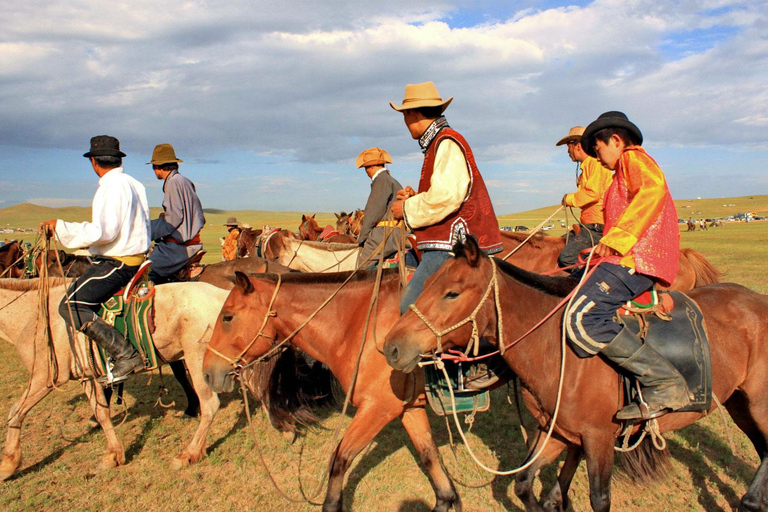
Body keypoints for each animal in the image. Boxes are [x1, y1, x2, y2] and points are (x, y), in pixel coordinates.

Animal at [202, 270, 462, 512]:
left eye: (227, 317)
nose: (207, 373)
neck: (359, 323)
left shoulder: (377, 408)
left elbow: (339, 459)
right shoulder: (408, 406)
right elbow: (428, 454)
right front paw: (446, 499)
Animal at [388, 236, 768, 512]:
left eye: (451, 293)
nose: (391, 347)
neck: (557, 350)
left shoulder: (598, 438)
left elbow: (599, 499)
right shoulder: (556, 431)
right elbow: (524, 483)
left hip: (758, 405)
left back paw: (750, 501)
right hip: (739, 404)